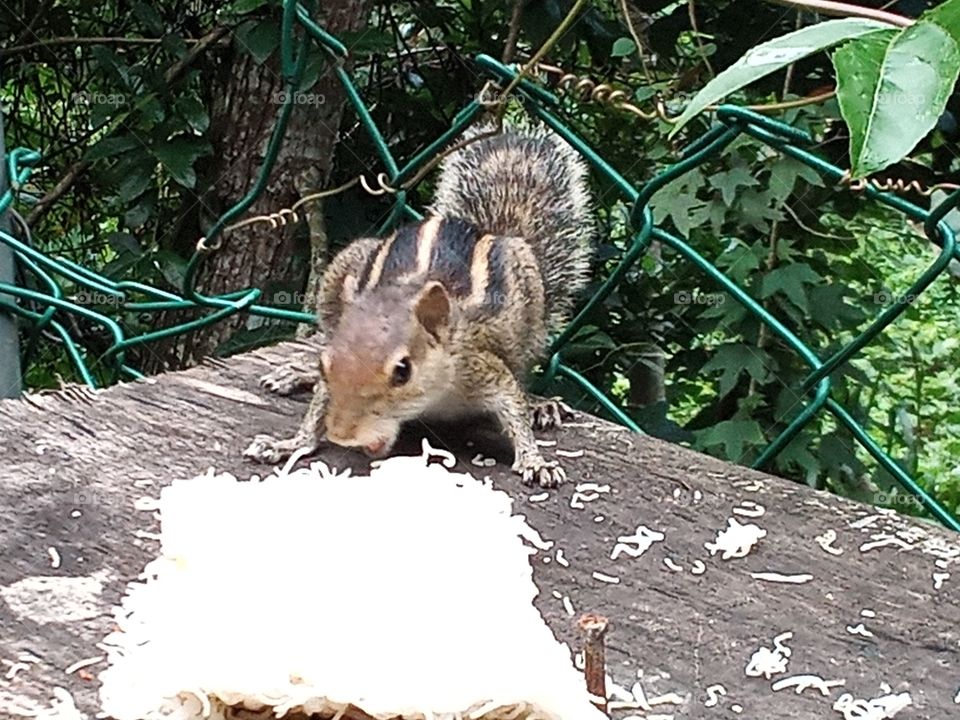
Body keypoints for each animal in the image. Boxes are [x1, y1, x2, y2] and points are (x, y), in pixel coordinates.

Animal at [243, 118, 595, 487]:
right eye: (326, 364)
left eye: (403, 371)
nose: (343, 433)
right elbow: (317, 407)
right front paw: (288, 443)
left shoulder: (482, 366)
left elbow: (514, 407)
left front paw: (536, 461)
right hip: (341, 272)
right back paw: (294, 375)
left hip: (530, 307)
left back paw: (542, 405)